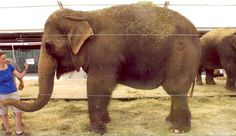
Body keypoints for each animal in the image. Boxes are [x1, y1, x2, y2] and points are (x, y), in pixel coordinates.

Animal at [0, 2, 201, 134]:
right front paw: (106, 122)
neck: (82, 15)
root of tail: (196, 33)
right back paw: (169, 122)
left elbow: (98, 85)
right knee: (176, 93)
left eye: (49, 46)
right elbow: (106, 88)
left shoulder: (105, 53)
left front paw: (95, 130)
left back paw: (178, 129)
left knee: (175, 90)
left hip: (181, 57)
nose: (4, 102)